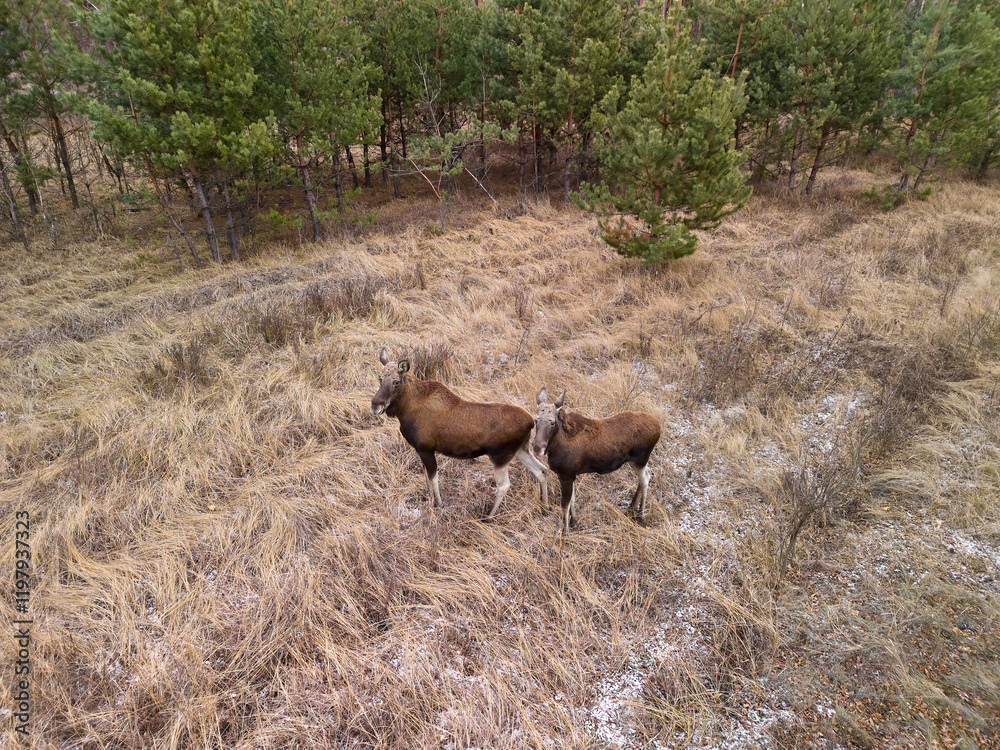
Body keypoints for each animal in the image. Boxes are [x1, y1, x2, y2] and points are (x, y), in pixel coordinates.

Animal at [370, 348, 548, 518]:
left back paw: (488, 516)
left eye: (396, 382)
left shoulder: (426, 448)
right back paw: (544, 507)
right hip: (521, 449)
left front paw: (439, 504)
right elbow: (427, 479)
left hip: (500, 456)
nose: (375, 406)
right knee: (541, 470)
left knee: (504, 486)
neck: (406, 410)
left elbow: (433, 479)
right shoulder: (420, 450)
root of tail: (531, 422)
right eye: (379, 378)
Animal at [532, 388, 661, 533]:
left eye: (552, 422)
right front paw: (574, 522)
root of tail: (659, 426)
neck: (556, 444)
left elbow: (565, 505)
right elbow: (572, 500)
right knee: (646, 475)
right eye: (536, 420)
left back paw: (640, 514)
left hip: (640, 459)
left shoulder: (566, 474)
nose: (537, 447)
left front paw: (565, 531)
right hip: (634, 461)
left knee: (646, 478)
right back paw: (631, 508)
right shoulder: (571, 474)